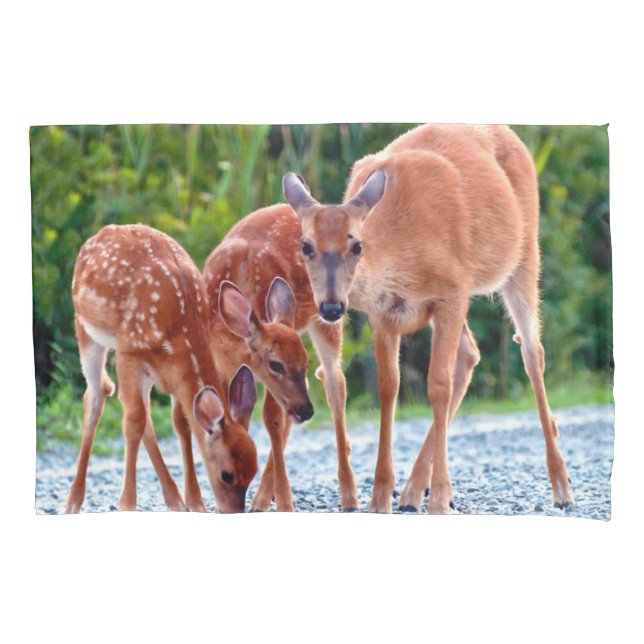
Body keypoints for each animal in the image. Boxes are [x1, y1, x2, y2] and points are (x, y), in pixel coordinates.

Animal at [64, 223, 258, 514]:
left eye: (254, 472)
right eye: (227, 475)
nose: (231, 511)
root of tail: (99, 234)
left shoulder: (171, 372)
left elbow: (181, 423)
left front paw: (195, 502)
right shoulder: (129, 351)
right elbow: (133, 422)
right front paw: (127, 504)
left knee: (138, 408)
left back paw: (175, 499)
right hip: (85, 329)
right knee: (97, 396)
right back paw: (73, 502)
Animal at [202, 206, 360, 511]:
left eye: (304, 362)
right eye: (276, 364)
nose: (307, 411)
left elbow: (272, 420)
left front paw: (286, 502)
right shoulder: (222, 363)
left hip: (328, 316)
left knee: (335, 383)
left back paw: (349, 495)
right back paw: (263, 498)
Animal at [283, 123, 575, 514]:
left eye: (356, 245)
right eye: (306, 245)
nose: (331, 308)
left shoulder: (451, 291)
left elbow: (438, 385)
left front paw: (438, 498)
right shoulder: (383, 314)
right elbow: (388, 387)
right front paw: (380, 497)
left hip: (525, 255)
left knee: (531, 352)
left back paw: (561, 487)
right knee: (470, 354)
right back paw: (410, 492)